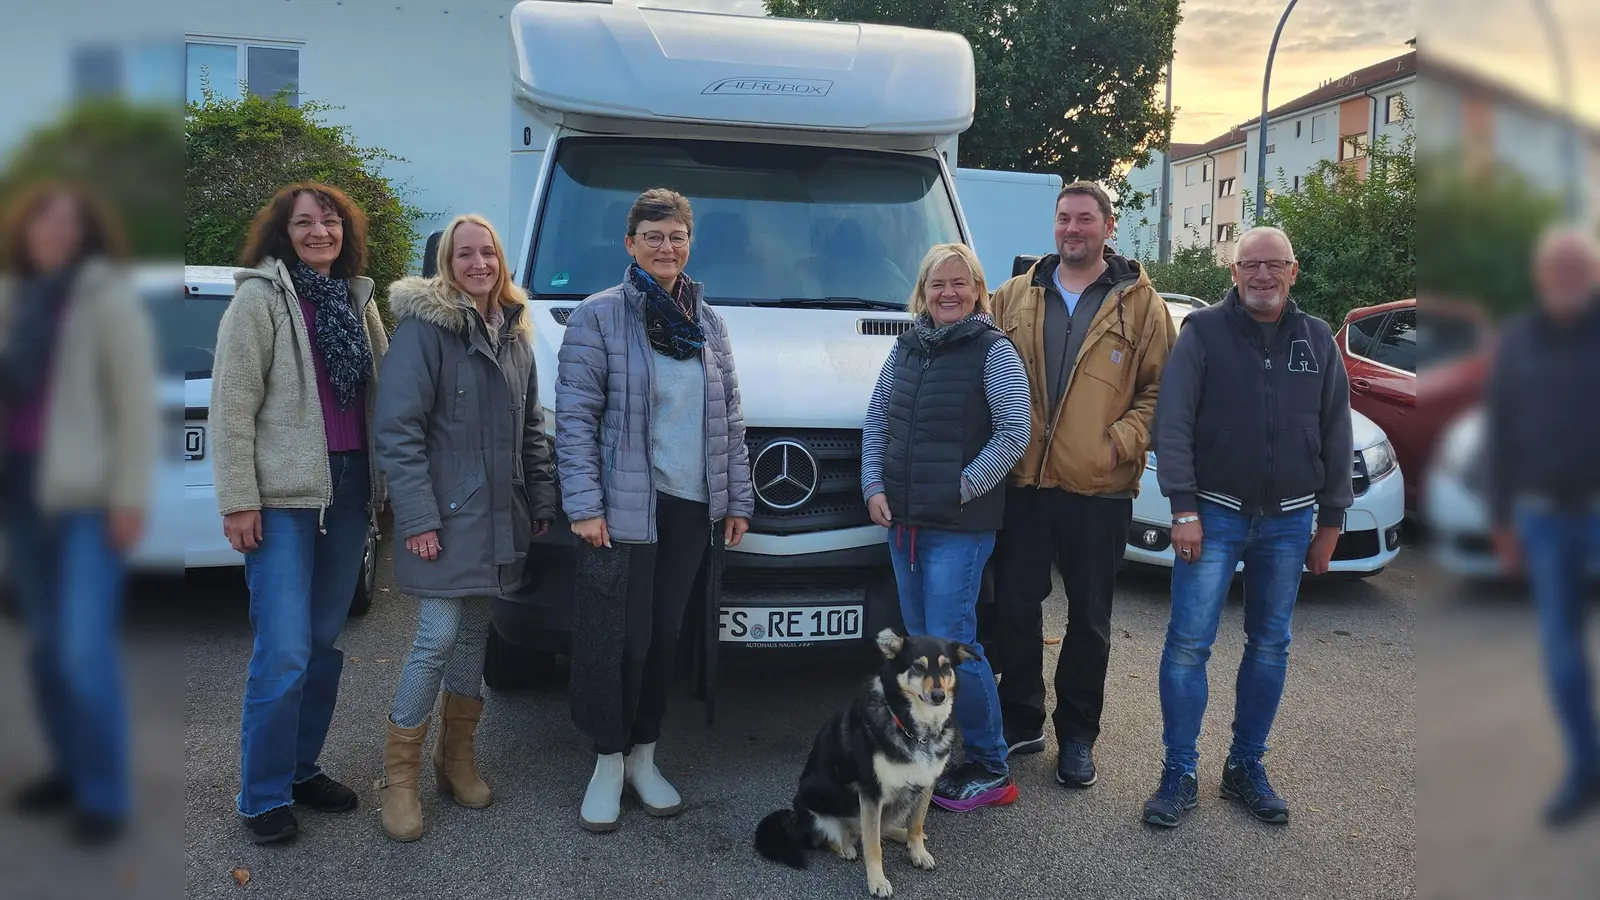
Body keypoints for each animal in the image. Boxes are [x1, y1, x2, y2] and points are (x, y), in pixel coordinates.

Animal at [755, 627, 966, 890]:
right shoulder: (871, 793)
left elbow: (916, 825)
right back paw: (846, 847)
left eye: (946, 667)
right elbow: (872, 845)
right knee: (838, 838)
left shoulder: (927, 783)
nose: (938, 696)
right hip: (817, 803)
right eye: (918, 667)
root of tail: (793, 820)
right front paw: (877, 881)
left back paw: (900, 834)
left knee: (880, 829)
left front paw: (917, 851)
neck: (915, 729)